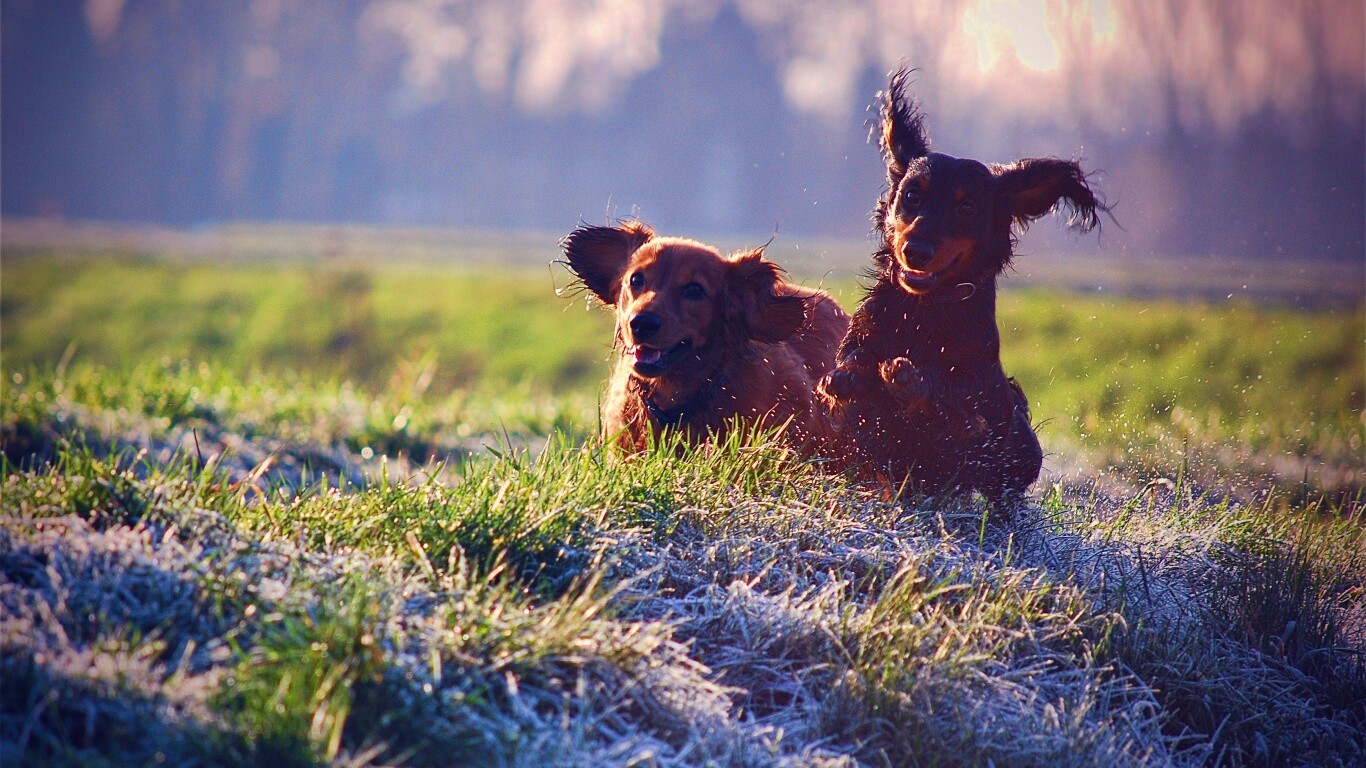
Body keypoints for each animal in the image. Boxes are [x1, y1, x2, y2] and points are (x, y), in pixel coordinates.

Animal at [814, 70, 1103, 502]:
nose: (915, 251)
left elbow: (953, 402)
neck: (924, 310)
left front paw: (909, 377)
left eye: (966, 208)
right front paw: (849, 377)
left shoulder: (979, 412)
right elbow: (851, 377)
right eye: (911, 196)